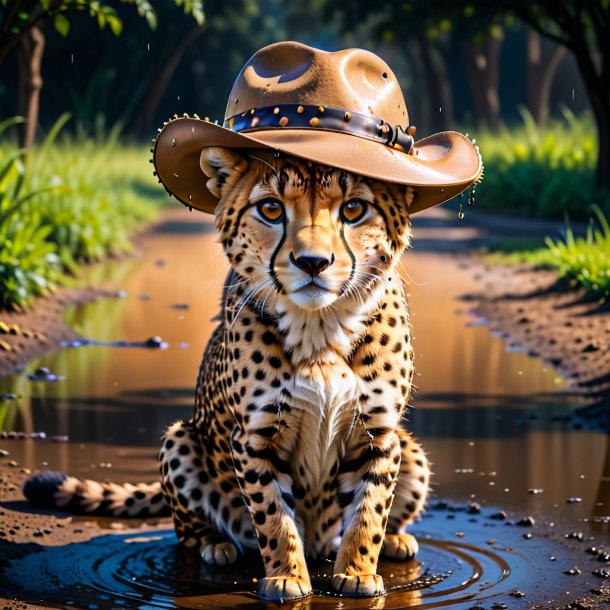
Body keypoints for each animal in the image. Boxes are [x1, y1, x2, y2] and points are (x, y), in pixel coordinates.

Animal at [23, 148, 430, 600]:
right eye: (271, 208)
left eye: (354, 209)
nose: (313, 263)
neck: (320, 329)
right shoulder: (253, 437)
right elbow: (273, 516)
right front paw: (288, 576)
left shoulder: (380, 433)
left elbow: (370, 511)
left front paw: (357, 572)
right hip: (180, 438)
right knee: (187, 531)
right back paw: (216, 545)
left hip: (411, 448)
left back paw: (396, 540)